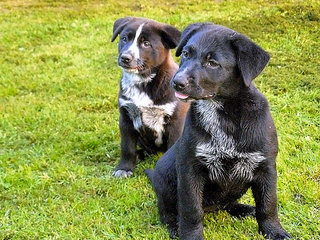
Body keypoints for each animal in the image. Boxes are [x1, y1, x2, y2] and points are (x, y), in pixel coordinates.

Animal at [111, 16, 189, 177]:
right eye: (124, 39)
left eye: (146, 44)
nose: (125, 57)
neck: (142, 81)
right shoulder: (126, 117)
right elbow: (127, 147)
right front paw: (124, 168)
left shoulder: (176, 121)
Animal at [146, 23, 290, 240]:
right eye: (186, 53)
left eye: (213, 63)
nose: (177, 82)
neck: (221, 111)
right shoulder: (190, 169)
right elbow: (191, 209)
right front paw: (191, 236)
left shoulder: (266, 166)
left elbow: (268, 204)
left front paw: (274, 231)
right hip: (164, 179)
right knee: (167, 212)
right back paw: (174, 226)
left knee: (229, 204)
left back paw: (244, 209)